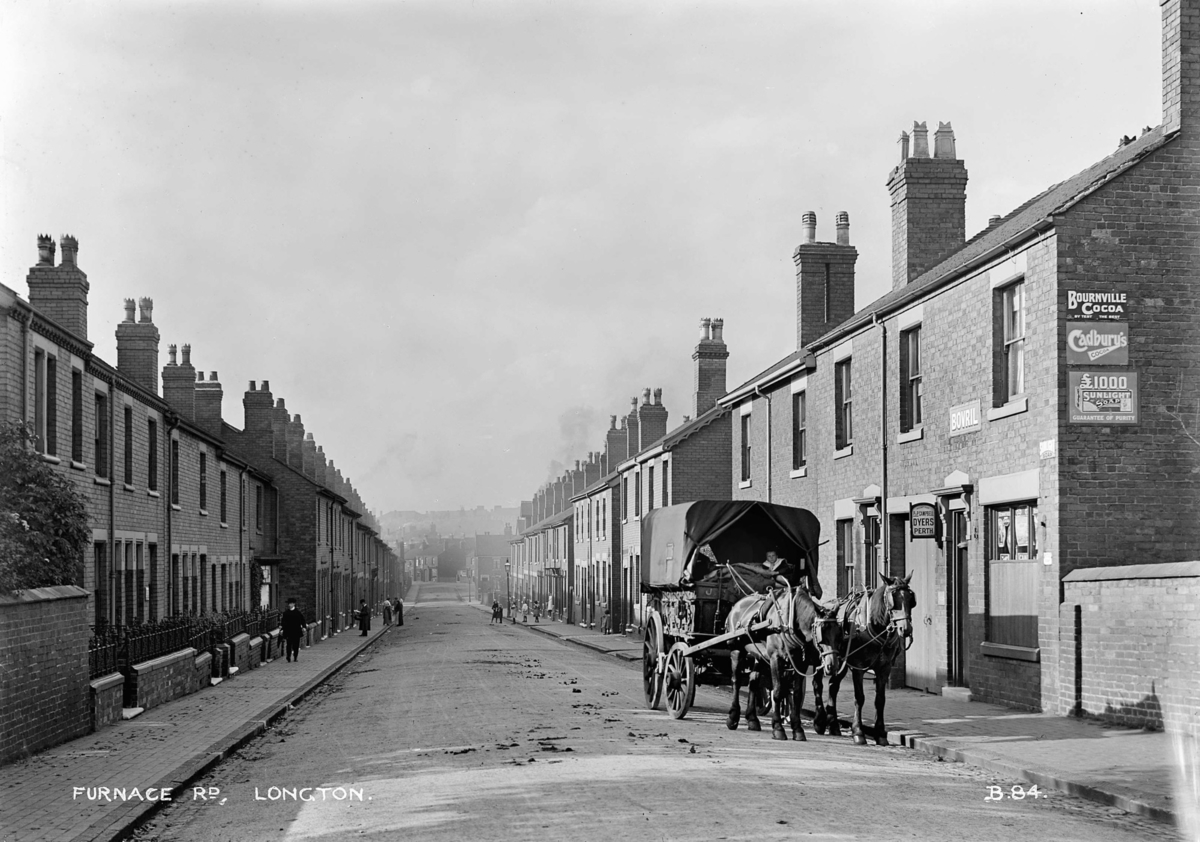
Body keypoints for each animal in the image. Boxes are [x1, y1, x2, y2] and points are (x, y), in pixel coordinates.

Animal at [720, 590, 844, 743]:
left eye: (839, 634)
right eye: (822, 632)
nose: (832, 665)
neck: (789, 623)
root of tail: (737, 604)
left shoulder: (800, 664)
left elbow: (796, 695)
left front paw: (797, 729)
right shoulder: (776, 658)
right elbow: (778, 692)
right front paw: (778, 728)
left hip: (759, 655)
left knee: (753, 682)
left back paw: (752, 719)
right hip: (737, 649)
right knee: (736, 681)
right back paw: (733, 717)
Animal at [816, 578, 916, 748]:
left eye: (911, 599)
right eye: (892, 600)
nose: (906, 629)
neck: (875, 626)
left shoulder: (884, 669)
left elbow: (880, 700)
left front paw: (880, 734)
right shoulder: (858, 668)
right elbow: (859, 698)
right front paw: (858, 732)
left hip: (838, 663)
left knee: (833, 687)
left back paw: (834, 725)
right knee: (817, 684)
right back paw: (819, 721)